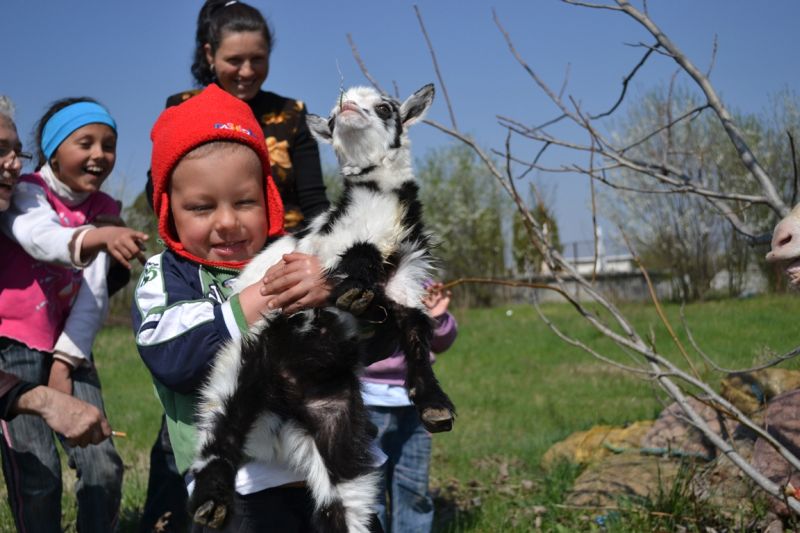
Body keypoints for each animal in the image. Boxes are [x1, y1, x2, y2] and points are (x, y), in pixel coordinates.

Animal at [184, 84, 454, 532]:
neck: (380, 204)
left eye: (385, 107)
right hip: (239, 367)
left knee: (344, 497)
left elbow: (416, 329)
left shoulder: (405, 274)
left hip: (335, 419)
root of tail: (284, 411)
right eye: (330, 116)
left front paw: (434, 405)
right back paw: (211, 502)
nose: (346, 108)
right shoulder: (323, 244)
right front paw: (356, 289)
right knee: (221, 430)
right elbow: (354, 257)